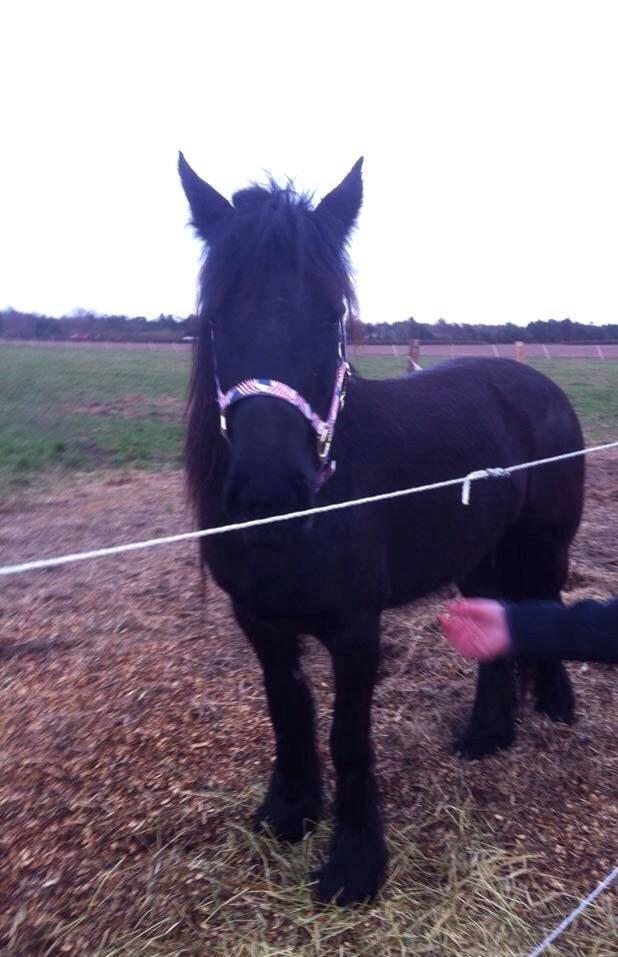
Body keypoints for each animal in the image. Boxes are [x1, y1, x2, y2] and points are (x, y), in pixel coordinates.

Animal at [179, 154, 584, 905]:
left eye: (333, 313)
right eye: (215, 312)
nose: (269, 492)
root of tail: (538, 384)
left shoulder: (355, 628)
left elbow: (348, 737)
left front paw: (354, 863)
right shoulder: (259, 621)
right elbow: (288, 712)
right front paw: (289, 813)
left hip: (547, 544)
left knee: (549, 603)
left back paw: (555, 704)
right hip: (478, 554)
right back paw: (487, 734)